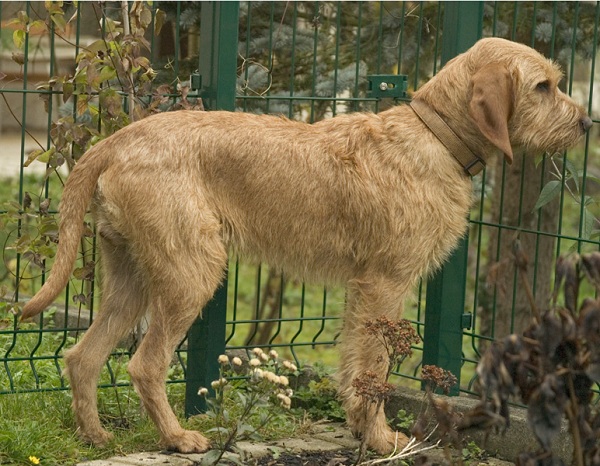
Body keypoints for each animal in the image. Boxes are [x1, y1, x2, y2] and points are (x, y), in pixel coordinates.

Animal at [22, 38, 592, 454]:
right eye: (543, 86)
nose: (588, 123)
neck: (434, 137)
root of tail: (116, 140)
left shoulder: (362, 292)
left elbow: (355, 366)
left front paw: (362, 430)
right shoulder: (386, 285)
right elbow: (376, 369)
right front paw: (381, 439)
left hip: (132, 278)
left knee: (83, 356)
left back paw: (95, 435)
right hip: (191, 274)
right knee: (144, 364)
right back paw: (178, 438)